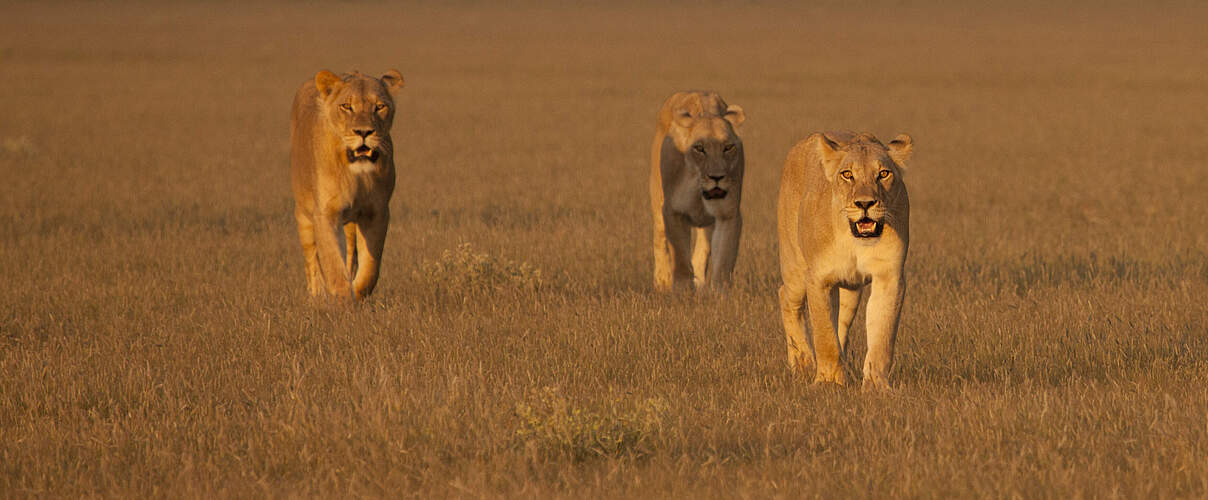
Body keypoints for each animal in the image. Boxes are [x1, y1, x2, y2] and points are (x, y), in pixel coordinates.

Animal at [288, 67, 403, 298]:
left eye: (379, 106)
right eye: (347, 106)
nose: (364, 132)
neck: (357, 174)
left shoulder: (376, 212)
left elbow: (370, 269)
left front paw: (357, 292)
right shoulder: (325, 213)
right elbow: (332, 264)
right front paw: (340, 299)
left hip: (350, 223)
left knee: (351, 254)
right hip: (303, 215)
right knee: (312, 260)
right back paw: (316, 295)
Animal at [652, 91, 744, 291]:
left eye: (728, 147)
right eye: (699, 148)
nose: (717, 177)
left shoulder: (728, 214)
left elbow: (723, 260)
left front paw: (719, 293)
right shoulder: (673, 211)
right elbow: (680, 256)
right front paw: (683, 291)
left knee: (703, 248)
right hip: (657, 200)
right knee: (660, 238)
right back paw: (662, 282)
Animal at [777, 131, 908, 388]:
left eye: (883, 174)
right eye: (847, 174)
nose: (865, 203)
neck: (854, 239)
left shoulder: (890, 276)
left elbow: (882, 334)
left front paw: (876, 385)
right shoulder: (819, 279)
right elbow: (824, 335)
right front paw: (828, 382)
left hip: (851, 290)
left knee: (842, 323)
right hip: (795, 269)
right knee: (786, 297)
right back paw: (803, 363)